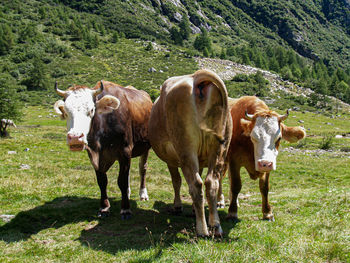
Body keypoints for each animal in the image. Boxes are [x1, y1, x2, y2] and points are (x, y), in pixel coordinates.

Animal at [53, 81, 152, 221]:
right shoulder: (94, 155)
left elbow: (122, 181)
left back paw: (143, 194)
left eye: (91, 110)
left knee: (142, 169)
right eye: (66, 112)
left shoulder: (125, 150)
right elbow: (102, 182)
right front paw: (104, 208)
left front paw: (125, 209)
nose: (75, 138)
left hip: (145, 147)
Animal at [148, 68, 232, 237]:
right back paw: (216, 226)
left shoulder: (171, 160)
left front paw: (177, 206)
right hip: (219, 149)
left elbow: (176, 181)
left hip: (185, 148)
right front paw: (192, 209)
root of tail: (196, 76)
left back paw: (202, 230)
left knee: (196, 184)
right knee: (211, 182)